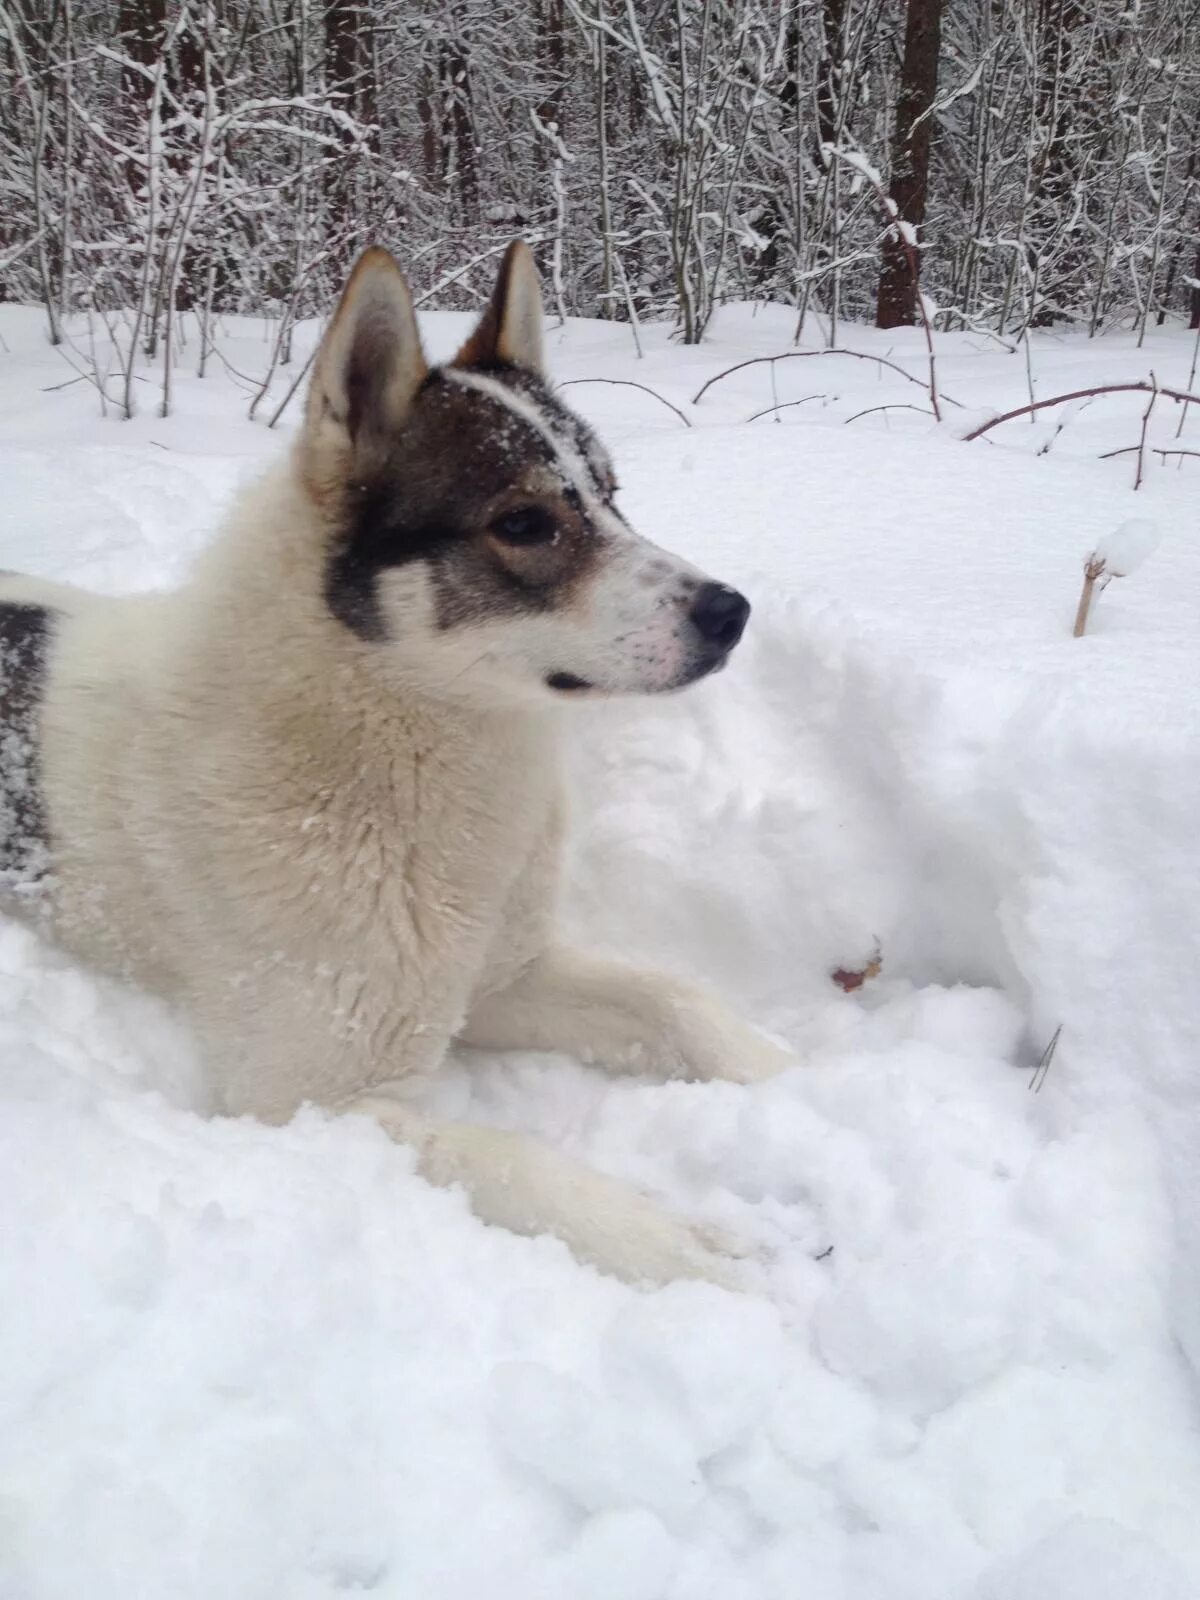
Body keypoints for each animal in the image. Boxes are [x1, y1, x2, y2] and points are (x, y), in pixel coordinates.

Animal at [0, 240, 793, 1286]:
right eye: (525, 523)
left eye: (612, 496)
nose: (732, 612)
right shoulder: (315, 1106)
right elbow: (523, 1165)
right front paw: (691, 1249)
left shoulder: (501, 980)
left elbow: (678, 1001)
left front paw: (807, 1080)